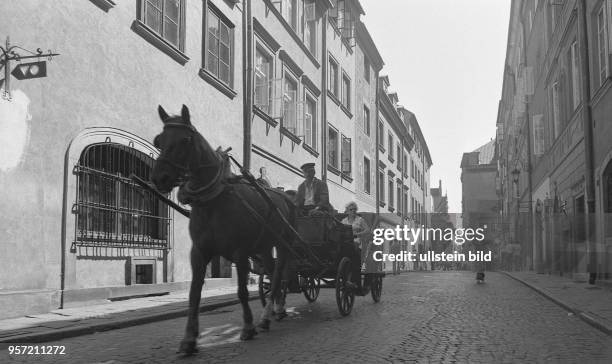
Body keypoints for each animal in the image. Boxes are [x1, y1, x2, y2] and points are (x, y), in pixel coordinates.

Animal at [148, 104, 292, 356]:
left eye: (185, 140)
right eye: (159, 140)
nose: (160, 178)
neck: (213, 200)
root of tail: (281, 196)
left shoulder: (240, 253)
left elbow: (242, 291)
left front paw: (247, 327)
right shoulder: (198, 252)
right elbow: (194, 294)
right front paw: (189, 339)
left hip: (281, 244)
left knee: (277, 277)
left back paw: (266, 316)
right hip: (264, 247)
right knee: (272, 272)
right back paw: (276, 309)